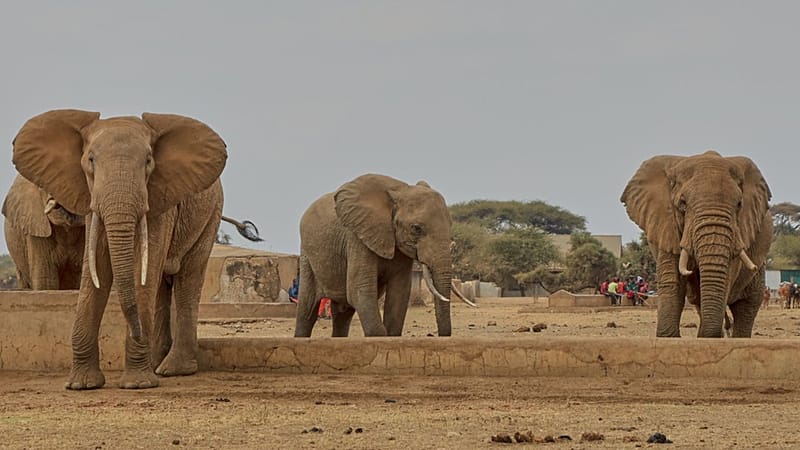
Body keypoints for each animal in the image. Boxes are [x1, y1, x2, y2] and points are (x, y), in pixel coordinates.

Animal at [12, 109, 227, 389]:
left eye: (148, 161)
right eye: (90, 160)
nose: (137, 333)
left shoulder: (159, 199)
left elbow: (143, 272)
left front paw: (138, 384)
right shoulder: (90, 196)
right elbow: (96, 269)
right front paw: (82, 385)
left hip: (210, 215)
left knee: (187, 278)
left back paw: (172, 370)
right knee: (162, 286)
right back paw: (156, 364)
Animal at [294, 173, 473, 338]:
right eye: (416, 228)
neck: (400, 190)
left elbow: (399, 293)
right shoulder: (357, 237)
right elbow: (360, 291)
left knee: (343, 313)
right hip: (307, 257)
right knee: (307, 310)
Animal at [621, 150, 773, 338]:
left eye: (739, 205)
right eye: (683, 204)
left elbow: (725, 281)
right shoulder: (666, 226)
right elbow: (673, 282)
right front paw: (669, 338)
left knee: (747, 306)